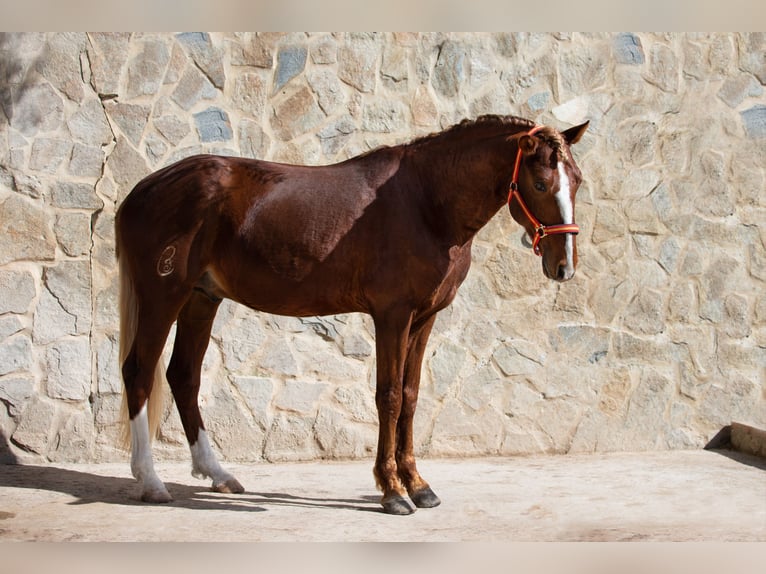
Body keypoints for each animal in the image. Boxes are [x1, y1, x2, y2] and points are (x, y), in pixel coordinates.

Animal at [117, 117, 592, 516]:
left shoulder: (424, 319)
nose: (564, 266)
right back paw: (151, 482)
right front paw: (393, 491)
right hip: (164, 296)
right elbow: (390, 397)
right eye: (540, 182)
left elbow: (411, 396)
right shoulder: (393, 316)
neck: (426, 203)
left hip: (202, 299)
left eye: (578, 181)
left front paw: (419, 485)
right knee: (139, 371)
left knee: (183, 376)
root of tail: (144, 189)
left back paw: (217, 474)